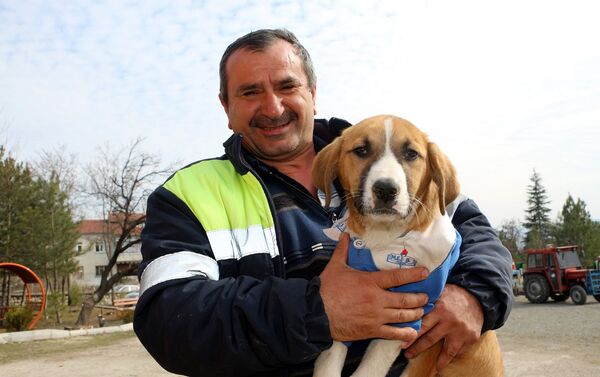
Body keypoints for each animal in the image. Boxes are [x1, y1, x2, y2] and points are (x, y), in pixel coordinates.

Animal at [310, 115, 502, 376]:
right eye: (361, 150)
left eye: (411, 154)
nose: (386, 189)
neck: (383, 236)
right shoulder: (347, 301)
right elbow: (330, 354)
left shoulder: (410, 309)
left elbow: (371, 368)